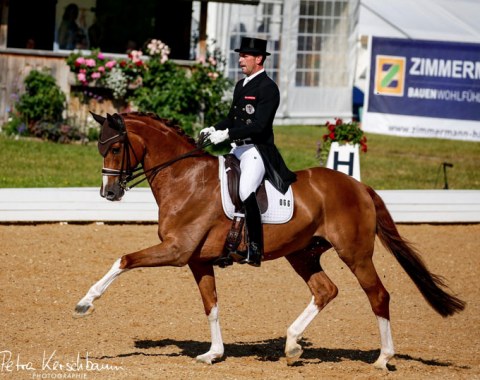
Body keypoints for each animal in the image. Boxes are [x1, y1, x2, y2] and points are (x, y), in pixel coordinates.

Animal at [75, 112, 464, 368]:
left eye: (114, 149)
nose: (109, 193)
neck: (184, 177)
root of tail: (359, 186)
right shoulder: (197, 260)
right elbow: (211, 305)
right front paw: (213, 353)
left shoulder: (177, 251)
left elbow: (124, 259)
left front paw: (85, 303)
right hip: (303, 254)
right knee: (325, 290)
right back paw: (292, 346)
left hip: (355, 253)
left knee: (378, 295)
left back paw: (383, 358)